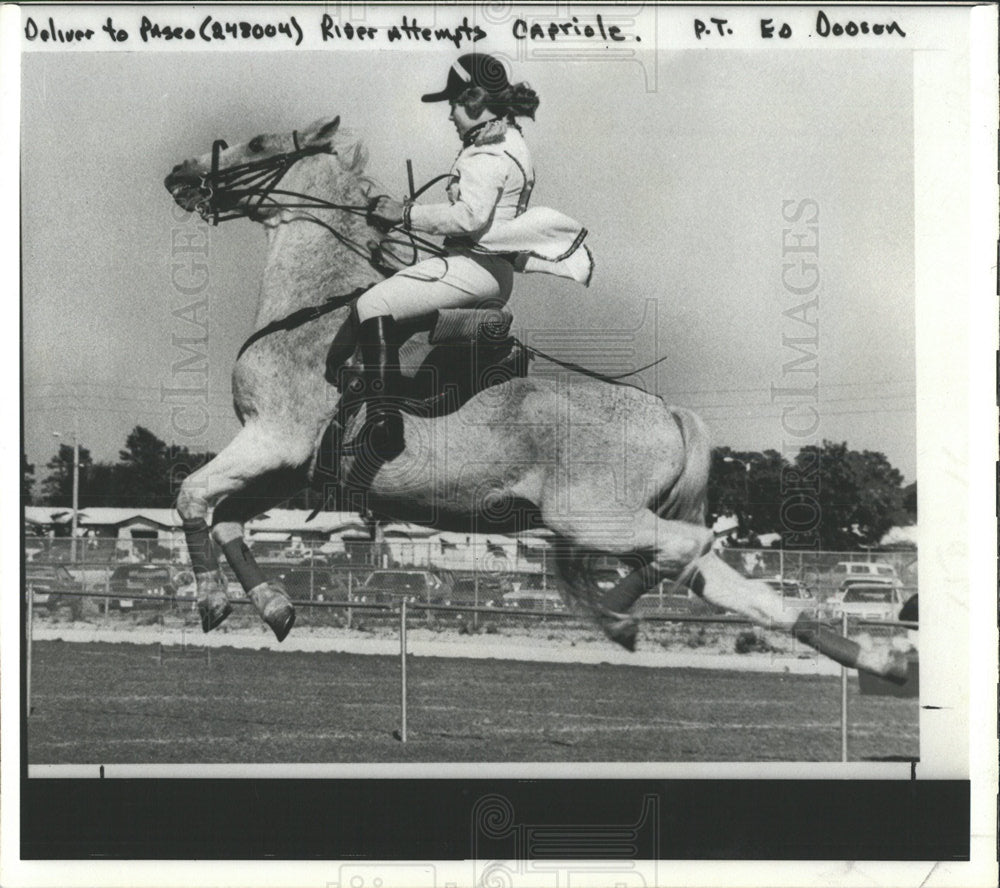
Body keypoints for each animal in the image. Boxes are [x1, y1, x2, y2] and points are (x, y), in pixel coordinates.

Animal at [162, 112, 908, 680]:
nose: (178, 177)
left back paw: (618, 614)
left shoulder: (272, 441)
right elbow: (226, 518)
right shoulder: (289, 466)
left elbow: (192, 496)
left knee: (685, 549)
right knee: (724, 580)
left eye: (258, 143)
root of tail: (666, 411)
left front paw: (212, 602)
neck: (311, 310)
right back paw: (877, 661)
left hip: (593, 518)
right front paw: (275, 607)